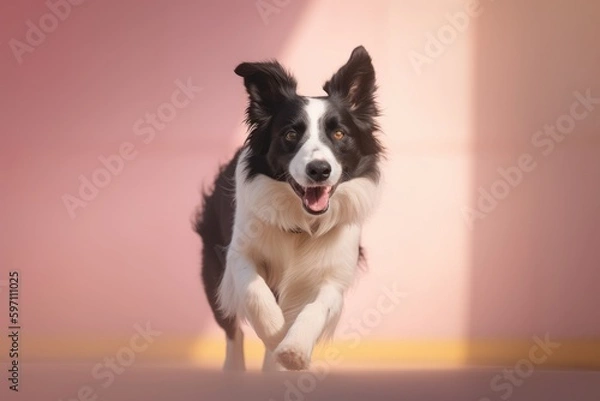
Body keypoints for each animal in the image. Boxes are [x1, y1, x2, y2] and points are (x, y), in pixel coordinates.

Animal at [197, 45, 384, 370]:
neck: (302, 224)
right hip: (212, 270)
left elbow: (317, 307)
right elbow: (255, 291)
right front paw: (275, 332)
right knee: (232, 331)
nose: (319, 170)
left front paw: (293, 348)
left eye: (339, 134)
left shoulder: (334, 276)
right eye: (290, 134)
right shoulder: (237, 254)